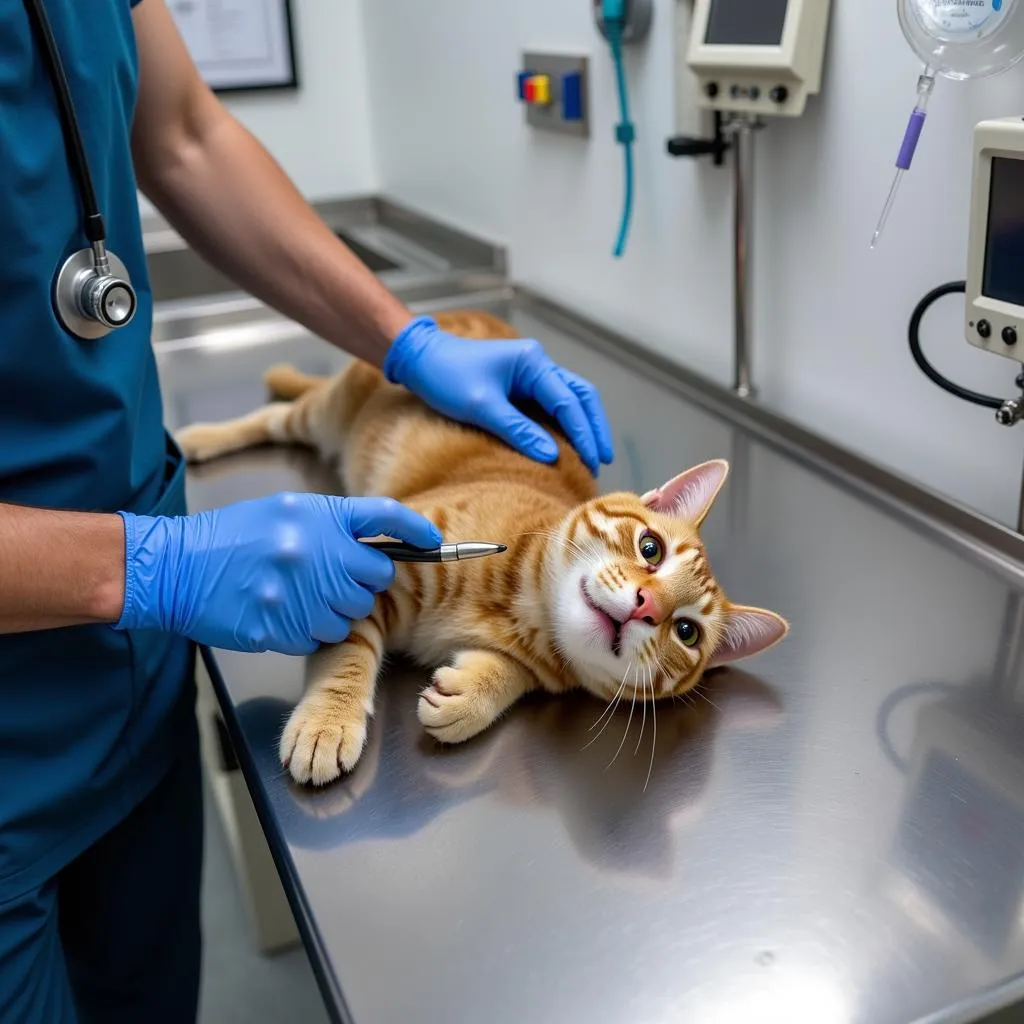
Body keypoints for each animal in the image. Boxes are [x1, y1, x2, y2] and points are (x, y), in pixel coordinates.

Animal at [176, 307, 786, 786]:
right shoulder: (370, 568)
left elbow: (507, 676)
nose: (645, 606)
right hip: (327, 412)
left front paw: (469, 696)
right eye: (651, 548)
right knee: (274, 417)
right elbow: (347, 653)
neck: (523, 609)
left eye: (686, 632)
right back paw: (200, 437)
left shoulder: (527, 662)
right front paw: (327, 721)